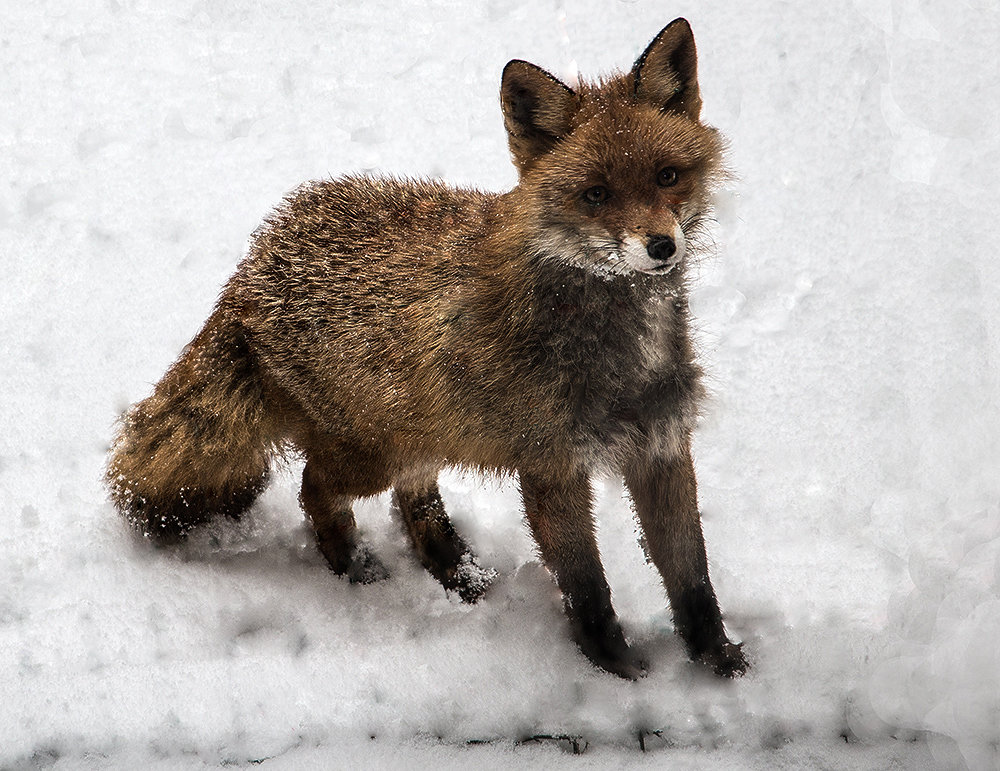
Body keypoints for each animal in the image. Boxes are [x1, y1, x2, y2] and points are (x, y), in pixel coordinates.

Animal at [107, 18, 752, 680]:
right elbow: (588, 589)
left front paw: (721, 666)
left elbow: (693, 581)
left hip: (426, 431)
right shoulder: (553, 467)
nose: (660, 246)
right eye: (596, 195)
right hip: (373, 453)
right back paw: (357, 574)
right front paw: (616, 670)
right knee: (315, 491)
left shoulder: (662, 448)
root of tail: (254, 262)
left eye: (668, 176)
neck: (619, 345)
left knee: (413, 503)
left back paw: (458, 573)